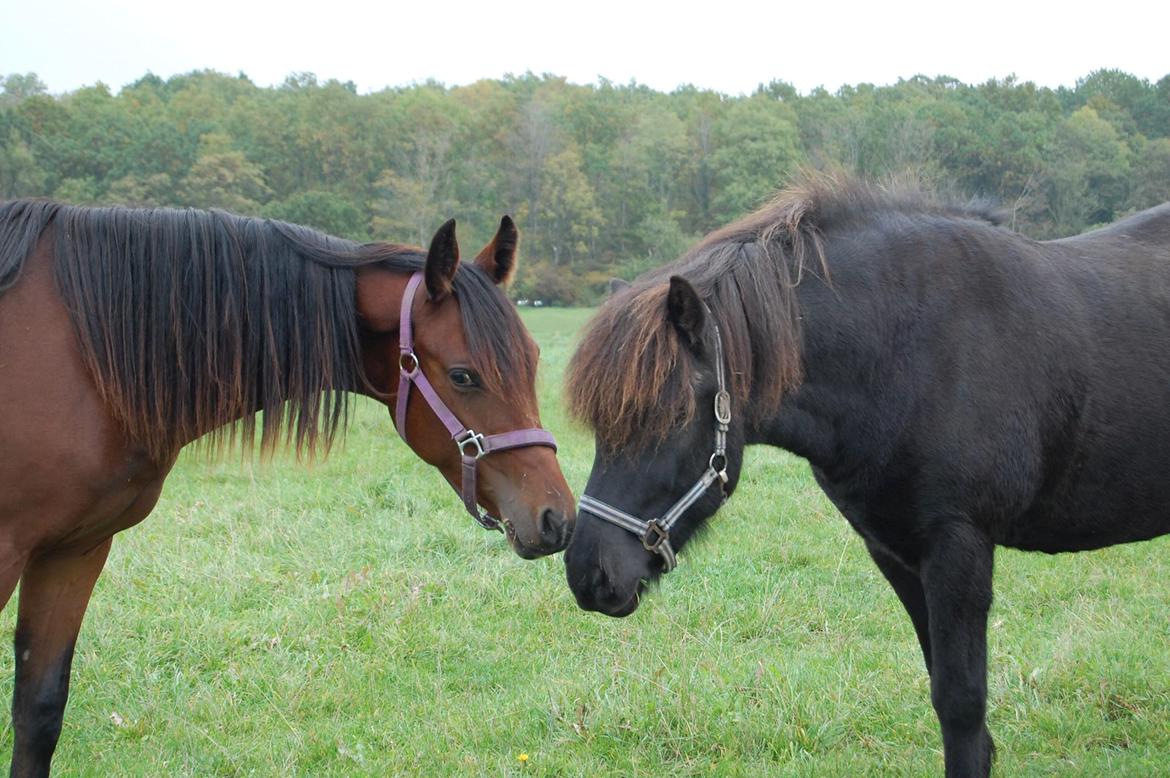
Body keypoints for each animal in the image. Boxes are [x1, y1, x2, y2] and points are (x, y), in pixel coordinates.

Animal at [0, 201, 575, 776]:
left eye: (533, 359)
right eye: (462, 376)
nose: (557, 519)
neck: (80, 355)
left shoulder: (76, 550)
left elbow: (39, 709)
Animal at [561, 175, 1170, 776]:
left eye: (669, 417)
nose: (589, 575)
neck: (904, 351)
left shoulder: (959, 546)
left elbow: (961, 700)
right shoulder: (896, 552)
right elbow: (941, 685)